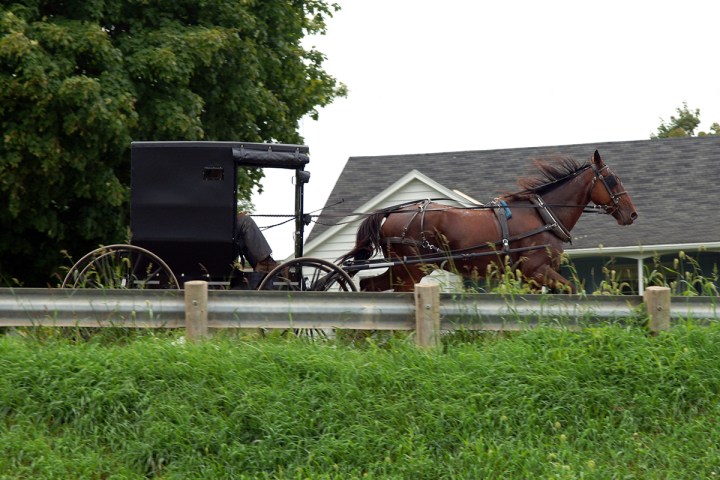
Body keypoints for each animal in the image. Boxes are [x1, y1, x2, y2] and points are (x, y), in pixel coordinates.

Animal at [338, 150, 636, 292]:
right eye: (613, 180)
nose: (631, 213)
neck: (544, 215)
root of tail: (393, 213)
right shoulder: (536, 270)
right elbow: (572, 289)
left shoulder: (528, 277)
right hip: (411, 269)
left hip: (405, 269)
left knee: (367, 286)